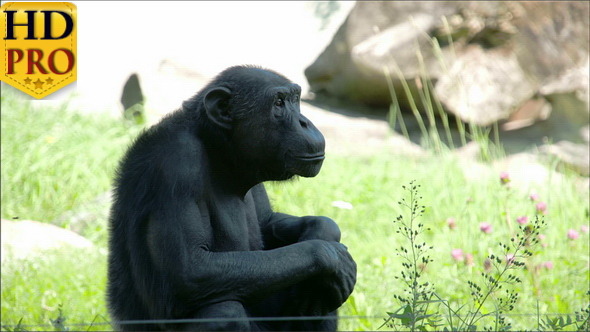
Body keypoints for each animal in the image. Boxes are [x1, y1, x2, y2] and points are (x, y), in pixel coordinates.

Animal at [106, 65, 356, 332]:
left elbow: (267, 222)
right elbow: (189, 270)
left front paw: (323, 230)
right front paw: (327, 254)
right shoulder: (176, 163)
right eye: (279, 103)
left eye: (295, 100)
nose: (305, 122)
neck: (218, 151)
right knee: (223, 312)